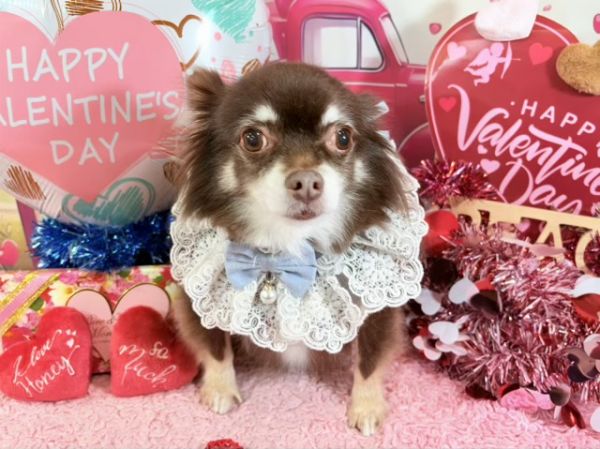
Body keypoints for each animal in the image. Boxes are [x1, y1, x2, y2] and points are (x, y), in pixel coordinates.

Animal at [172, 62, 412, 436]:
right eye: (253, 138)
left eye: (343, 138)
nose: (308, 182)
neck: (289, 248)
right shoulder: (200, 295)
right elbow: (215, 346)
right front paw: (220, 389)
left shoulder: (378, 307)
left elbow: (370, 360)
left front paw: (366, 407)